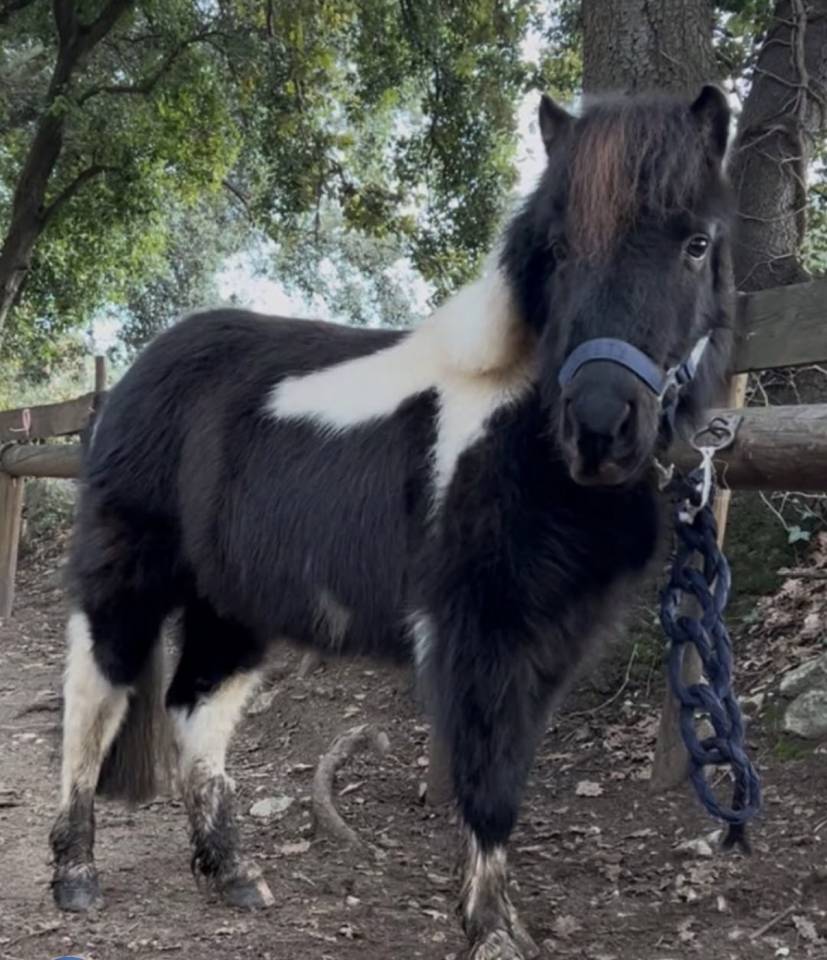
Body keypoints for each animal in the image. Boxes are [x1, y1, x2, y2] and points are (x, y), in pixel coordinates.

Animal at [49, 85, 735, 960]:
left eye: (696, 243)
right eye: (558, 249)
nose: (600, 429)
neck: (520, 428)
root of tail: (140, 371)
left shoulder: (549, 646)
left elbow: (508, 771)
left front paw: (499, 922)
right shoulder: (482, 638)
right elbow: (487, 781)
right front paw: (491, 932)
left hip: (231, 605)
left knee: (195, 711)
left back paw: (233, 873)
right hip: (125, 578)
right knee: (91, 702)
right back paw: (75, 876)